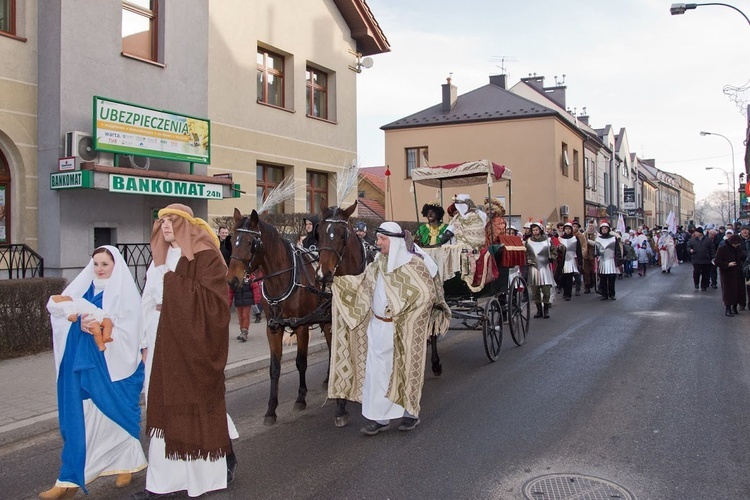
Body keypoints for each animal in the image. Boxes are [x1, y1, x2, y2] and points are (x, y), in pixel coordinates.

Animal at [228, 208, 334, 426]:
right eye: (233, 239)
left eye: (251, 243)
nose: (232, 279)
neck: (283, 279)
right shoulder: (273, 328)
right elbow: (274, 369)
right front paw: (271, 410)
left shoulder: (301, 325)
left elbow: (301, 362)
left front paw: (301, 398)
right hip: (326, 320)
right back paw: (328, 379)